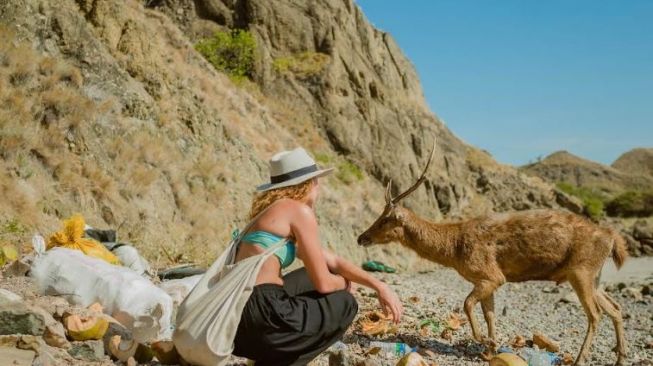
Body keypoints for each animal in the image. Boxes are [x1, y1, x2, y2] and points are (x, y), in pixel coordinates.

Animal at [356, 139, 628, 364]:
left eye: (384, 220)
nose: (361, 237)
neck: (454, 250)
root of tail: (612, 238)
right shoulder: (488, 280)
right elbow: (490, 314)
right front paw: (491, 349)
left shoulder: (491, 275)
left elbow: (466, 304)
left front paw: (485, 342)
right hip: (593, 276)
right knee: (615, 308)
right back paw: (620, 357)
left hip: (581, 270)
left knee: (595, 314)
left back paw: (581, 359)